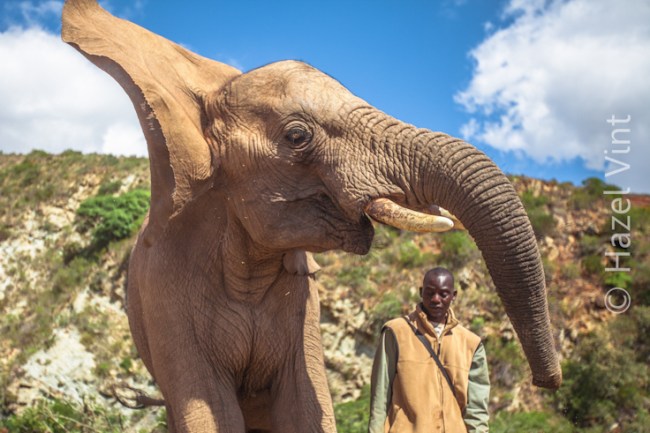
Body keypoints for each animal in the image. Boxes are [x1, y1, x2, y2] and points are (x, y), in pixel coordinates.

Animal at [61, 1, 562, 432]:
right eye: (297, 136)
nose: (549, 382)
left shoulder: (304, 300)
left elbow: (307, 403)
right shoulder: (165, 294)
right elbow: (209, 411)